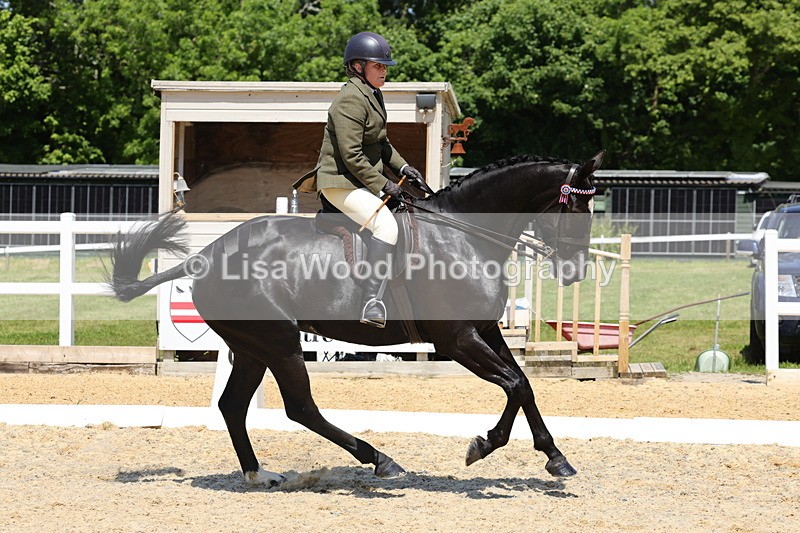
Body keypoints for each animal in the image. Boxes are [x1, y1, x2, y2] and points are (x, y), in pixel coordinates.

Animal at [109, 151, 604, 487]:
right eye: (577, 211)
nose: (575, 270)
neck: (466, 236)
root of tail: (205, 256)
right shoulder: (457, 339)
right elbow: (514, 384)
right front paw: (482, 446)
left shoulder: (483, 330)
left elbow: (525, 384)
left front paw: (555, 457)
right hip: (279, 342)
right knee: (300, 407)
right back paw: (380, 459)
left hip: (252, 347)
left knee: (233, 405)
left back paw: (258, 474)